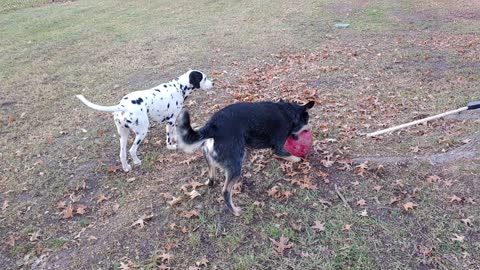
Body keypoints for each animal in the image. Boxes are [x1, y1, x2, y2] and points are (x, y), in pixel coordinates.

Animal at [76, 69, 213, 171]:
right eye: (204, 78)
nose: (213, 83)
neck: (178, 87)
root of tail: (123, 105)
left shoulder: (173, 120)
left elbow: (174, 133)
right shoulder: (170, 120)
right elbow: (169, 137)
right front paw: (171, 146)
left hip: (123, 135)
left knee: (122, 154)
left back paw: (126, 168)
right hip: (142, 132)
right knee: (132, 150)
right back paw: (137, 162)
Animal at [176, 100, 316, 216]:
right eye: (307, 121)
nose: (310, 129)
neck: (288, 113)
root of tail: (212, 126)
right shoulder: (278, 148)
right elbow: (291, 156)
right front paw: (300, 159)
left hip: (209, 158)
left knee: (211, 176)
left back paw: (210, 183)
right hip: (236, 164)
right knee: (226, 191)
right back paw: (235, 211)